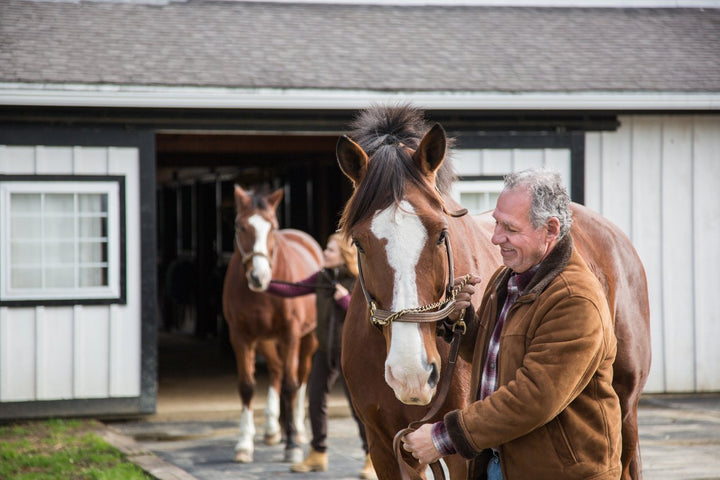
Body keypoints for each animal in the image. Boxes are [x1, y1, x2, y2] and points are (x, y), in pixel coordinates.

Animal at [222, 185, 323, 464]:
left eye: (273, 227)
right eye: (239, 226)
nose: (259, 276)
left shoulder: (290, 334)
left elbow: (290, 385)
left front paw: (293, 446)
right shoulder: (241, 337)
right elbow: (247, 386)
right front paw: (244, 444)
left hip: (307, 338)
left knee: (301, 376)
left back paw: (297, 429)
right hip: (265, 341)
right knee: (277, 370)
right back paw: (272, 429)